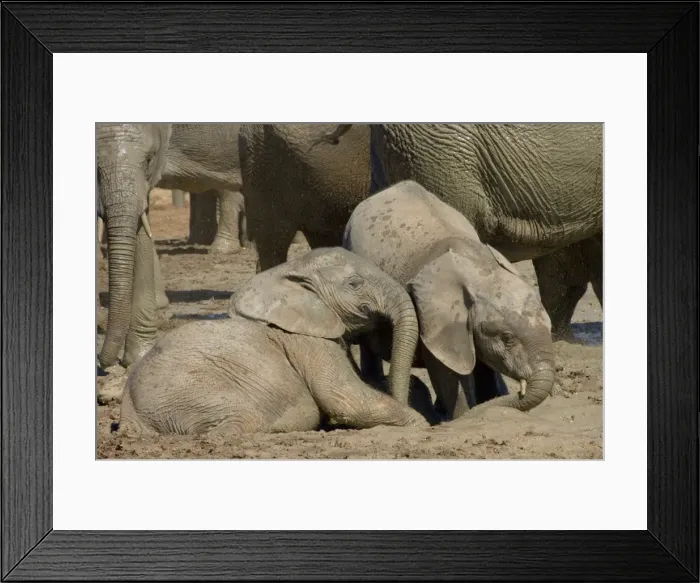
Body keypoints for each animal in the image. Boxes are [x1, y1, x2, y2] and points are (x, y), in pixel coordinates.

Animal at [115, 247, 430, 434]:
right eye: (354, 284)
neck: (285, 272)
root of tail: (128, 411)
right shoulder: (308, 341)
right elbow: (345, 399)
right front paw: (421, 423)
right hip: (188, 392)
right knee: (238, 422)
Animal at [343, 180, 556, 419]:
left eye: (550, 328)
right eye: (507, 337)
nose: (519, 392)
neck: (480, 271)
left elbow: (483, 368)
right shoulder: (434, 320)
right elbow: (447, 375)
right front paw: (461, 416)